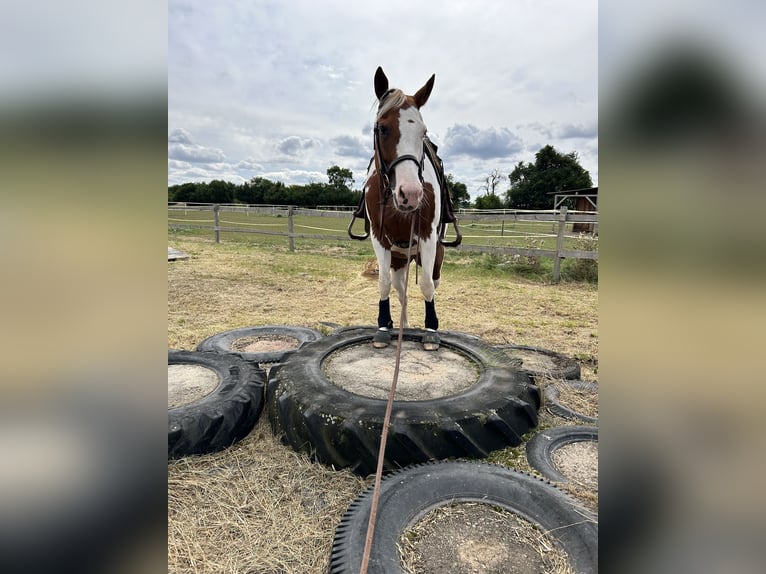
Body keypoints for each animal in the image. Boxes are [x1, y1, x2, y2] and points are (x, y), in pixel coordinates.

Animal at [348, 67, 461, 351]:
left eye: (423, 132)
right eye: (382, 128)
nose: (410, 194)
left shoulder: (428, 239)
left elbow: (426, 285)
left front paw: (431, 330)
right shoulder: (379, 238)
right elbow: (383, 283)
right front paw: (383, 326)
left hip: (434, 256)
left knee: (431, 281)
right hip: (399, 259)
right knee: (401, 290)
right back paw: (401, 323)